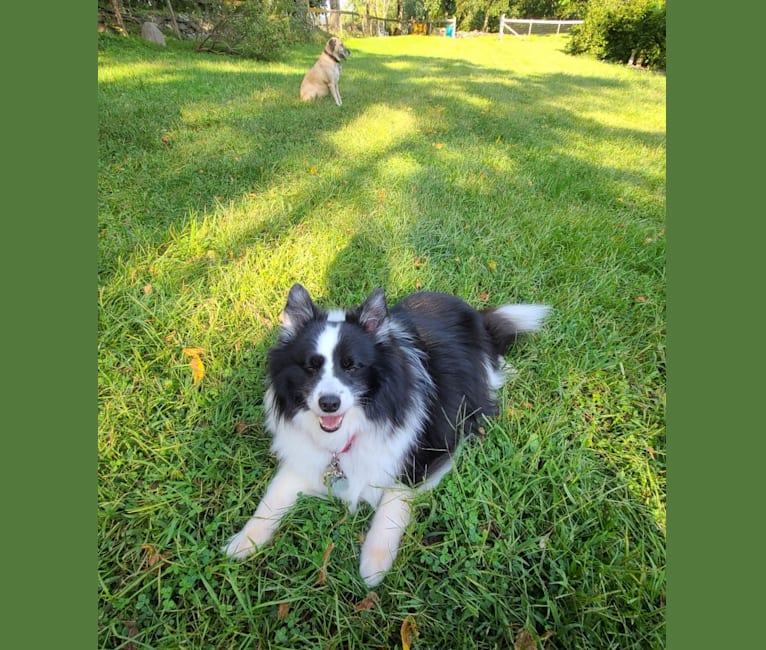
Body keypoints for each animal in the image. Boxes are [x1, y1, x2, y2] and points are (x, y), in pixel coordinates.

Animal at [225, 280, 548, 584]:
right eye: (310, 367)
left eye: (351, 366)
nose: (328, 404)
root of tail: (470, 310)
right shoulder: (304, 458)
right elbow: (273, 496)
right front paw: (245, 540)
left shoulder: (427, 453)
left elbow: (392, 503)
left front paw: (374, 563)